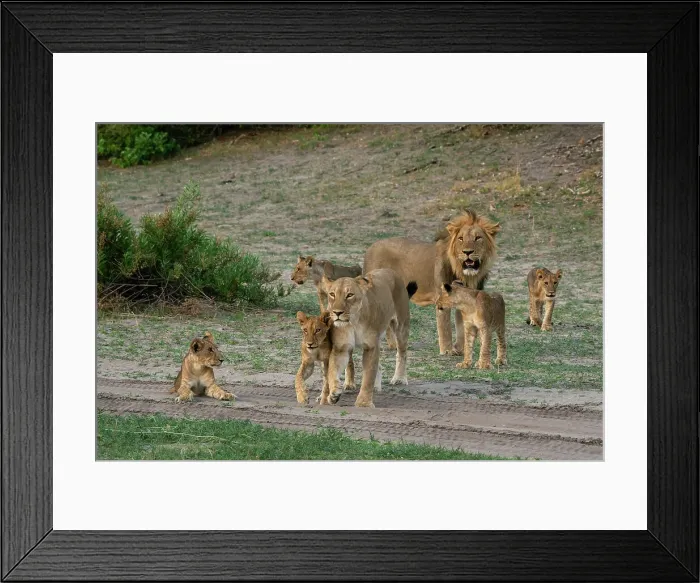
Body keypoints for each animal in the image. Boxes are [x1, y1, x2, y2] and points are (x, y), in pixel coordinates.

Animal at [318, 268, 418, 408]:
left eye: (350, 295)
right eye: (332, 294)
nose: (337, 312)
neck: (353, 322)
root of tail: (389, 270)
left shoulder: (371, 346)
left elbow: (368, 376)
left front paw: (364, 403)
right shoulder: (341, 347)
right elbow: (332, 370)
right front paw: (333, 393)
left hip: (401, 326)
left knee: (402, 352)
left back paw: (399, 378)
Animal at [363, 209, 500, 356]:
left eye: (478, 238)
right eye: (461, 238)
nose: (467, 252)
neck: (466, 275)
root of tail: (370, 248)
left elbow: (462, 327)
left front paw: (461, 350)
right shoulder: (442, 299)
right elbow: (445, 327)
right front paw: (446, 351)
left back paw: (393, 345)